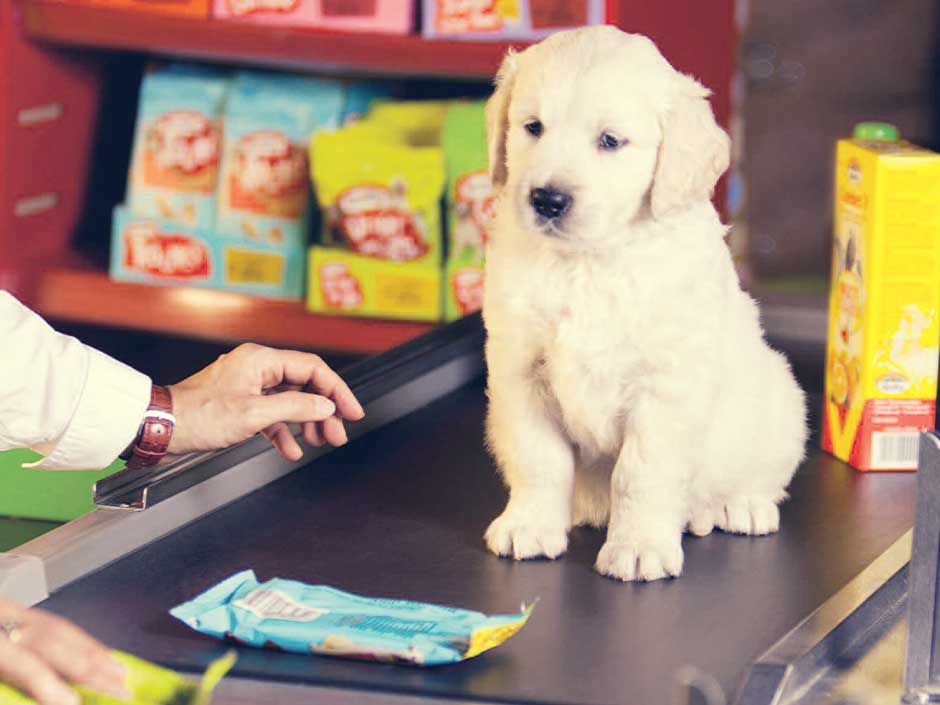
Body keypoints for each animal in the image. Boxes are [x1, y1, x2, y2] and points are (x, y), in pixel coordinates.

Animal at [484, 24, 808, 580]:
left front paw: (637, 547)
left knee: (762, 472)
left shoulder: (665, 386)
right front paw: (529, 525)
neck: (587, 261)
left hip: (781, 402)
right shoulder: (519, 372)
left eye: (610, 141)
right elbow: (538, 458)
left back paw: (741, 505)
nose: (547, 200)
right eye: (533, 127)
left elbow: (641, 473)